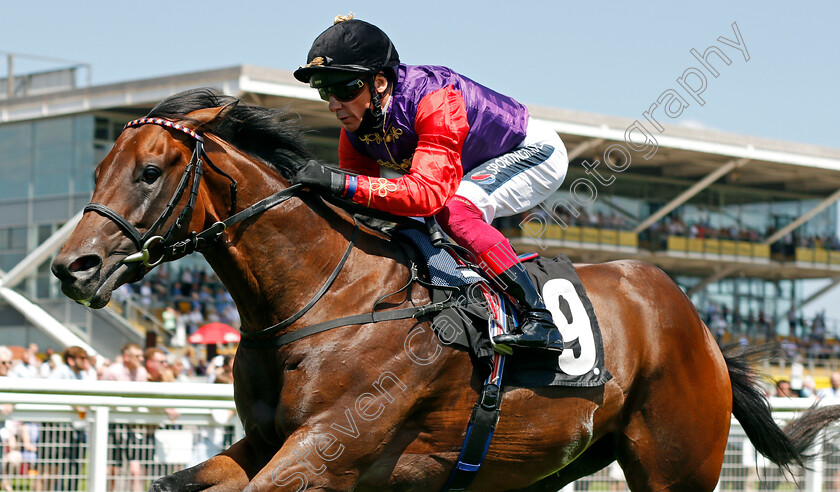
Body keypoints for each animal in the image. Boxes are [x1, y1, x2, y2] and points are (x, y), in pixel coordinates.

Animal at [52, 89, 840, 492]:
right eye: (96, 168)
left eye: (150, 170)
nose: (72, 268)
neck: (325, 298)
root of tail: (699, 326)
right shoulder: (268, 441)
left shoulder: (327, 450)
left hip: (677, 465)